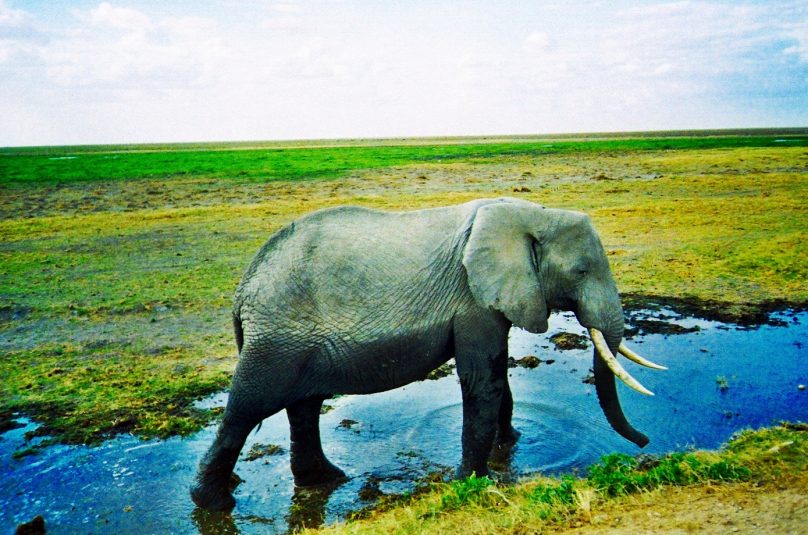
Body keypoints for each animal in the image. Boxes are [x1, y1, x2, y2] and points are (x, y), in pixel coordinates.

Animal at [189, 197, 664, 510]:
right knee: (247, 409)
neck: (533, 214)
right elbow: (484, 382)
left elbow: (498, 378)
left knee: (303, 406)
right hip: (276, 337)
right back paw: (214, 503)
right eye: (581, 271)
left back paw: (327, 480)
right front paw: (478, 482)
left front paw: (512, 443)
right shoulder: (473, 301)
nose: (645, 443)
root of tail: (243, 290)